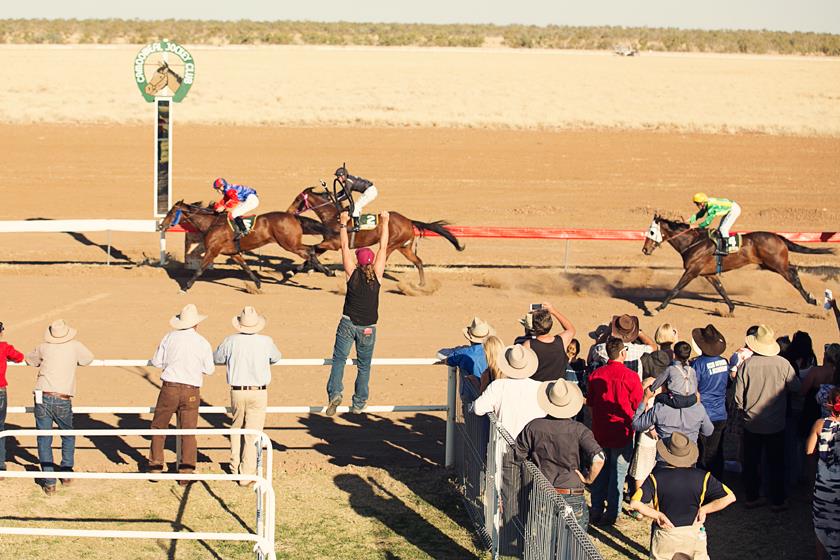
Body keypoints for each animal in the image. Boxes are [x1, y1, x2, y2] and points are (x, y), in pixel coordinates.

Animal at [158, 201, 332, 292]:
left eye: (171, 212)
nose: (161, 225)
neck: (212, 223)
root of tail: (293, 216)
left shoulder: (212, 251)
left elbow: (200, 269)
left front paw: (185, 287)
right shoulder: (233, 253)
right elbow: (246, 268)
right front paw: (257, 284)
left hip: (289, 243)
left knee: (309, 250)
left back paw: (326, 271)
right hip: (291, 243)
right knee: (311, 250)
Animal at [288, 186, 464, 286]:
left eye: (297, 199)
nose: (289, 211)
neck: (334, 216)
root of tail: (408, 221)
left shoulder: (333, 244)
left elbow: (312, 249)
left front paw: (324, 271)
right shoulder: (328, 242)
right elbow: (312, 253)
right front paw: (296, 270)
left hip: (390, 245)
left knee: (384, 261)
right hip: (404, 247)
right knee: (419, 261)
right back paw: (421, 284)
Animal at [641, 215, 834, 315]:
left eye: (651, 232)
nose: (645, 249)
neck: (693, 243)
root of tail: (778, 237)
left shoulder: (692, 270)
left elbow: (675, 289)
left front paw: (657, 308)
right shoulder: (708, 274)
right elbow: (721, 290)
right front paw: (731, 308)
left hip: (777, 264)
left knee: (793, 274)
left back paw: (812, 299)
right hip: (769, 264)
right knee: (793, 271)